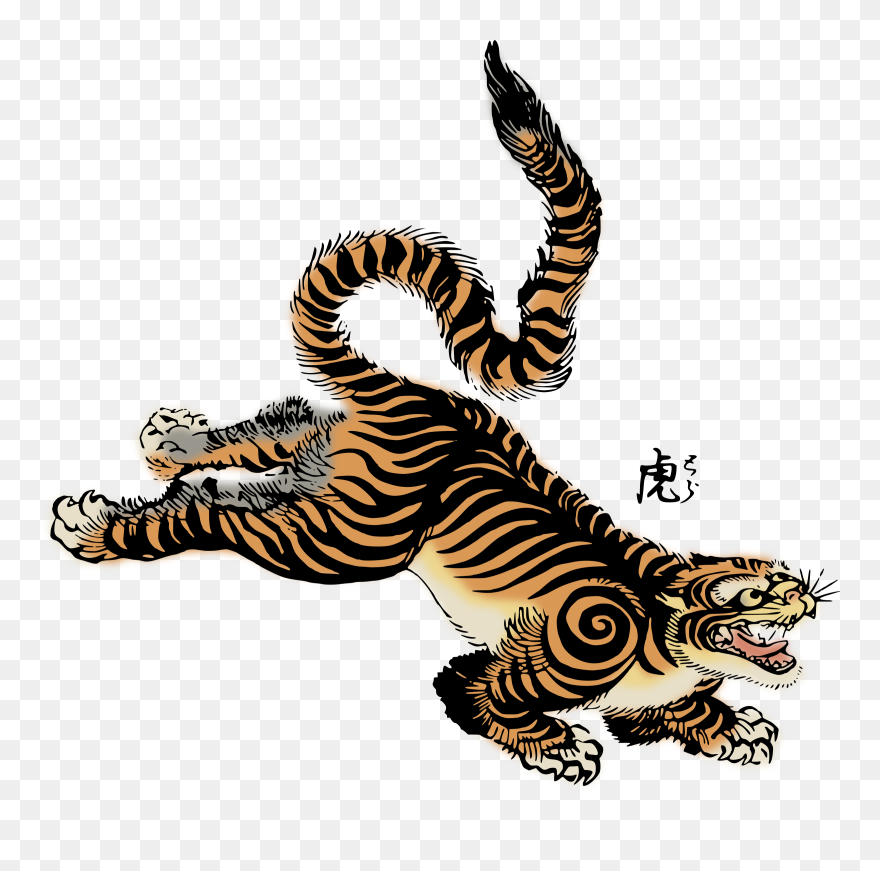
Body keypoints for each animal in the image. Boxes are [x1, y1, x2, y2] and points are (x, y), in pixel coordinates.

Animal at [51, 42, 833, 785]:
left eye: (786, 577)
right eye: (756, 590)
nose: (805, 595)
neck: (663, 634)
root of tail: (414, 393)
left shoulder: (649, 700)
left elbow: (680, 710)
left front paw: (731, 727)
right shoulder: (524, 663)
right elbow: (487, 700)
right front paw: (559, 747)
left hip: (328, 473)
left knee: (279, 430)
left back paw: (171, 442)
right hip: (353, 539)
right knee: (215, 514)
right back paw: (95, 527)